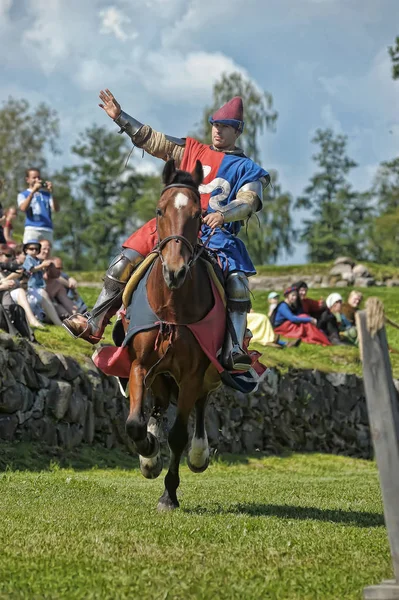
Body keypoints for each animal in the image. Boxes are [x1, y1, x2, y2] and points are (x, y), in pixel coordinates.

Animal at [125, 156, 222, 510]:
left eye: (198, 215)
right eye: (159, 210)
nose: (175, 271)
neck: (171, 306)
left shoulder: (194, 373)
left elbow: (179, 434)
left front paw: (169, 494)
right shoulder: (140, 365)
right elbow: (135, 424)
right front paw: (149, 451)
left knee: (199, 406)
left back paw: (198, 454)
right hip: (161, 373)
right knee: (156, 405)